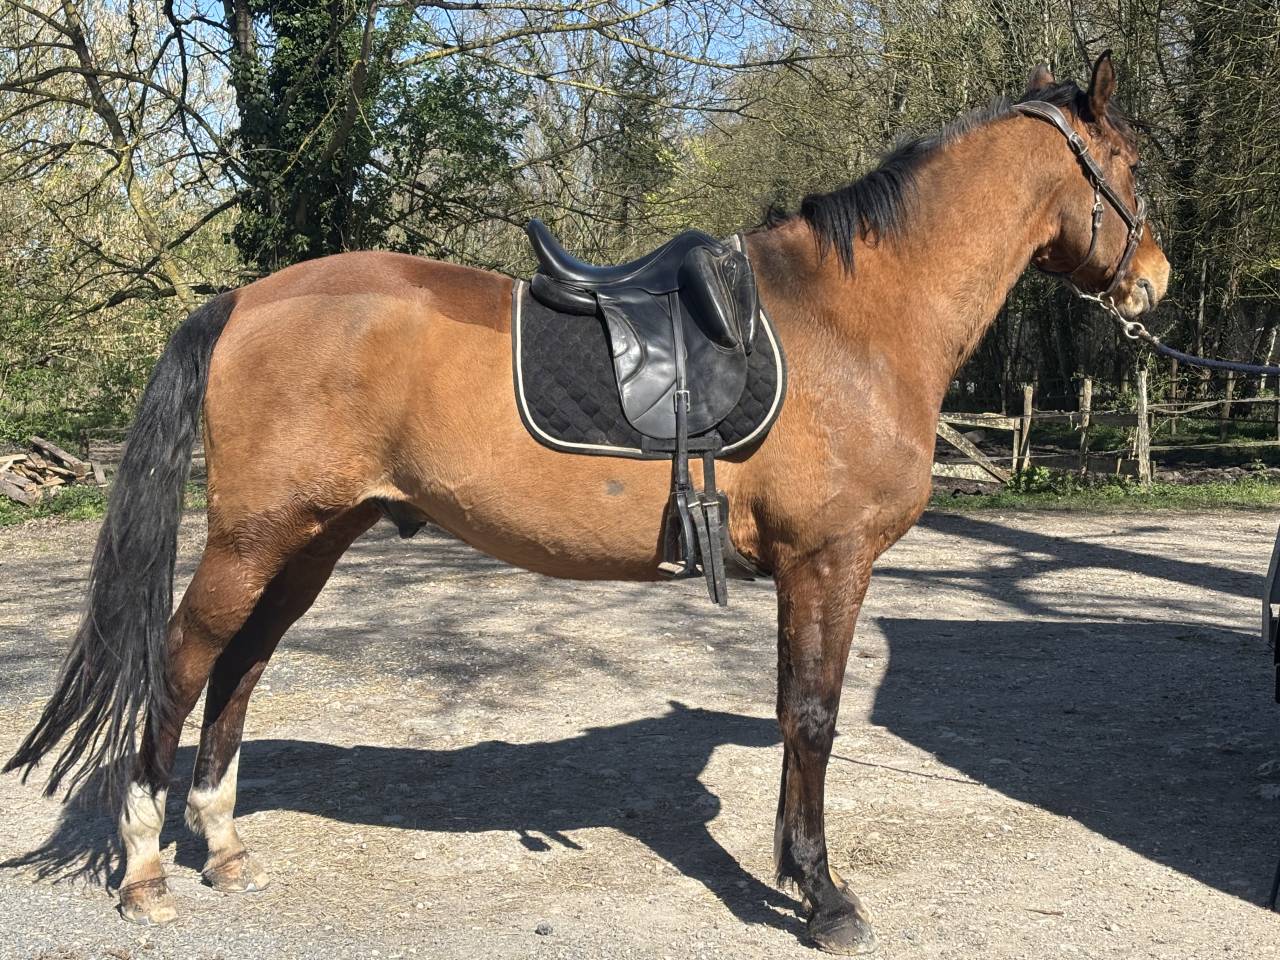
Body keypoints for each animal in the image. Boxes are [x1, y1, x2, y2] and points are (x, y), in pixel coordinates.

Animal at [5, 53, 1168, 954]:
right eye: (1126, 166)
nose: (1153, 279)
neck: (855, 321)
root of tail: (245, 298)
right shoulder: (828, 562)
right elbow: (814, 717)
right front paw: (821, 895)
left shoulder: (806, 571)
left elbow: (793, 711)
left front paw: (798, 877)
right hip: (254, 537)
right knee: (181, 662)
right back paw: (146, 870)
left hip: (313, 540)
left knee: (240, 668)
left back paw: (226, 848)